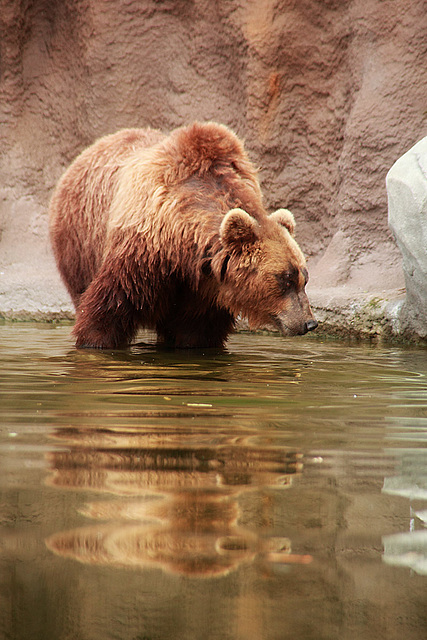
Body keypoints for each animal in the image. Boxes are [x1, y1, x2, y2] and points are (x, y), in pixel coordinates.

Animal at [50, 122, 318, 348]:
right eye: (285, 279)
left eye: (304, 278)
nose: (309, 323)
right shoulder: (143, 253)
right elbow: (108, 312)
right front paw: (95, 341)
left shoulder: (204, 291)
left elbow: (195, 333)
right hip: (80, 240)